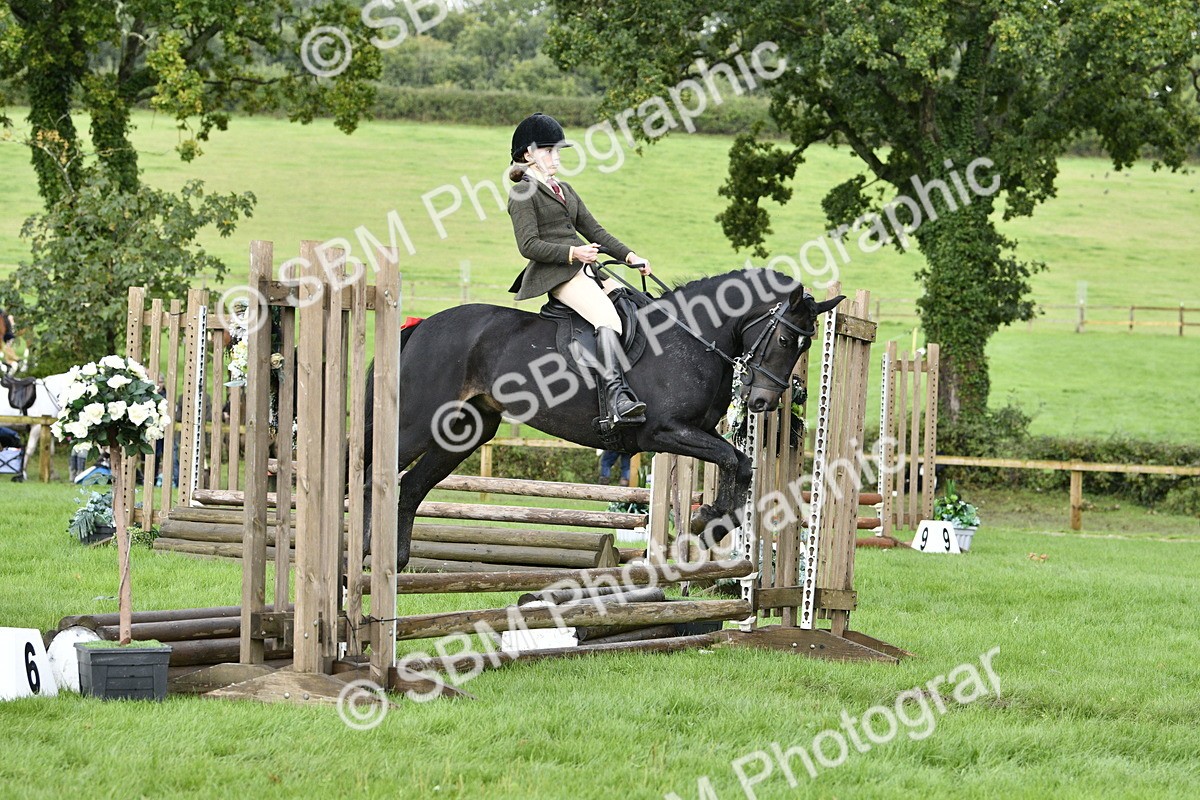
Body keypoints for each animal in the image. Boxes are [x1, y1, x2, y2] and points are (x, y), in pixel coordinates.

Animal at [362, 268, 844, 567]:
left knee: (411, 486)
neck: (691, 338)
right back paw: (363, 554)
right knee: (374, 476)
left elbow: (740, 462)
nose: (763, 402)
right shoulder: (663, 432)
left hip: (465, 431)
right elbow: (731, 459)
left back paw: (395, 561)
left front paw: (713, 522)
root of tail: (422, 325)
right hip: (416, 424)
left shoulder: (698, 431)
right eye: (786, 339)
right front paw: (706, 520)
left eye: (804, 346)